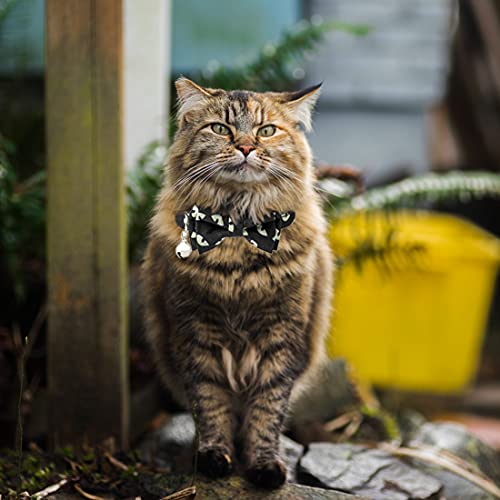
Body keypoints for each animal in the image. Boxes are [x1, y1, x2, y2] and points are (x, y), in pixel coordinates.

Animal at [141, 78, 332, 488]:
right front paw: (214, 458)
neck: (238, 235)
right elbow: (211, 406)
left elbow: (266, 412)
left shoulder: (282, 339)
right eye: (220, 128)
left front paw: (264, 466)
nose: (245, 146)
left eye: (267, 131)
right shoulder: (196, 336)